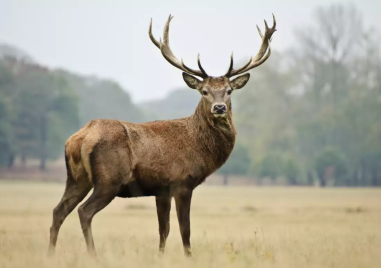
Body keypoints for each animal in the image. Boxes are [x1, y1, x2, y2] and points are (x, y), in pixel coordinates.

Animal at [47, 13, 276, 256]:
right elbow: (185, 229)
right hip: (109, 179)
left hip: (77, 178)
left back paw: (50, 254)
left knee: (58, 210)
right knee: (84, 211)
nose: (220, 107)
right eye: (204, 91)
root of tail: (80, 137)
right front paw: (189, 256)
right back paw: (93, 256)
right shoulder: (182, 182)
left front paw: (160, 256)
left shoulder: (161, 189)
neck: (199, 146)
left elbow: (163, 229)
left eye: (229, 91)